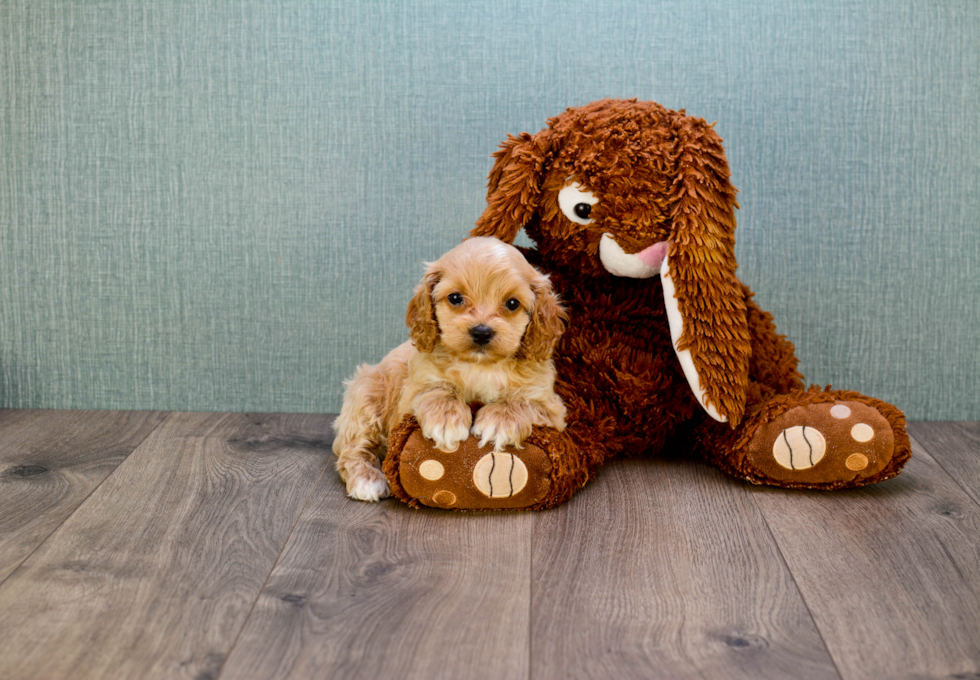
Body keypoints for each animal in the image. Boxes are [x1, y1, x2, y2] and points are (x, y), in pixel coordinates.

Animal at [334, 238, 572, 500]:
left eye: (512, 303)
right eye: (456, 298)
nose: (481, 331)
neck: (481, 366)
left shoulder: (550, 406)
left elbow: (521, 401)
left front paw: (499, 421)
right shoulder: (411, 394)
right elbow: (437, 389)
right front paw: (446, 419)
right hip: (367, 397)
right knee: (353, 447)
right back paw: (366, 479)